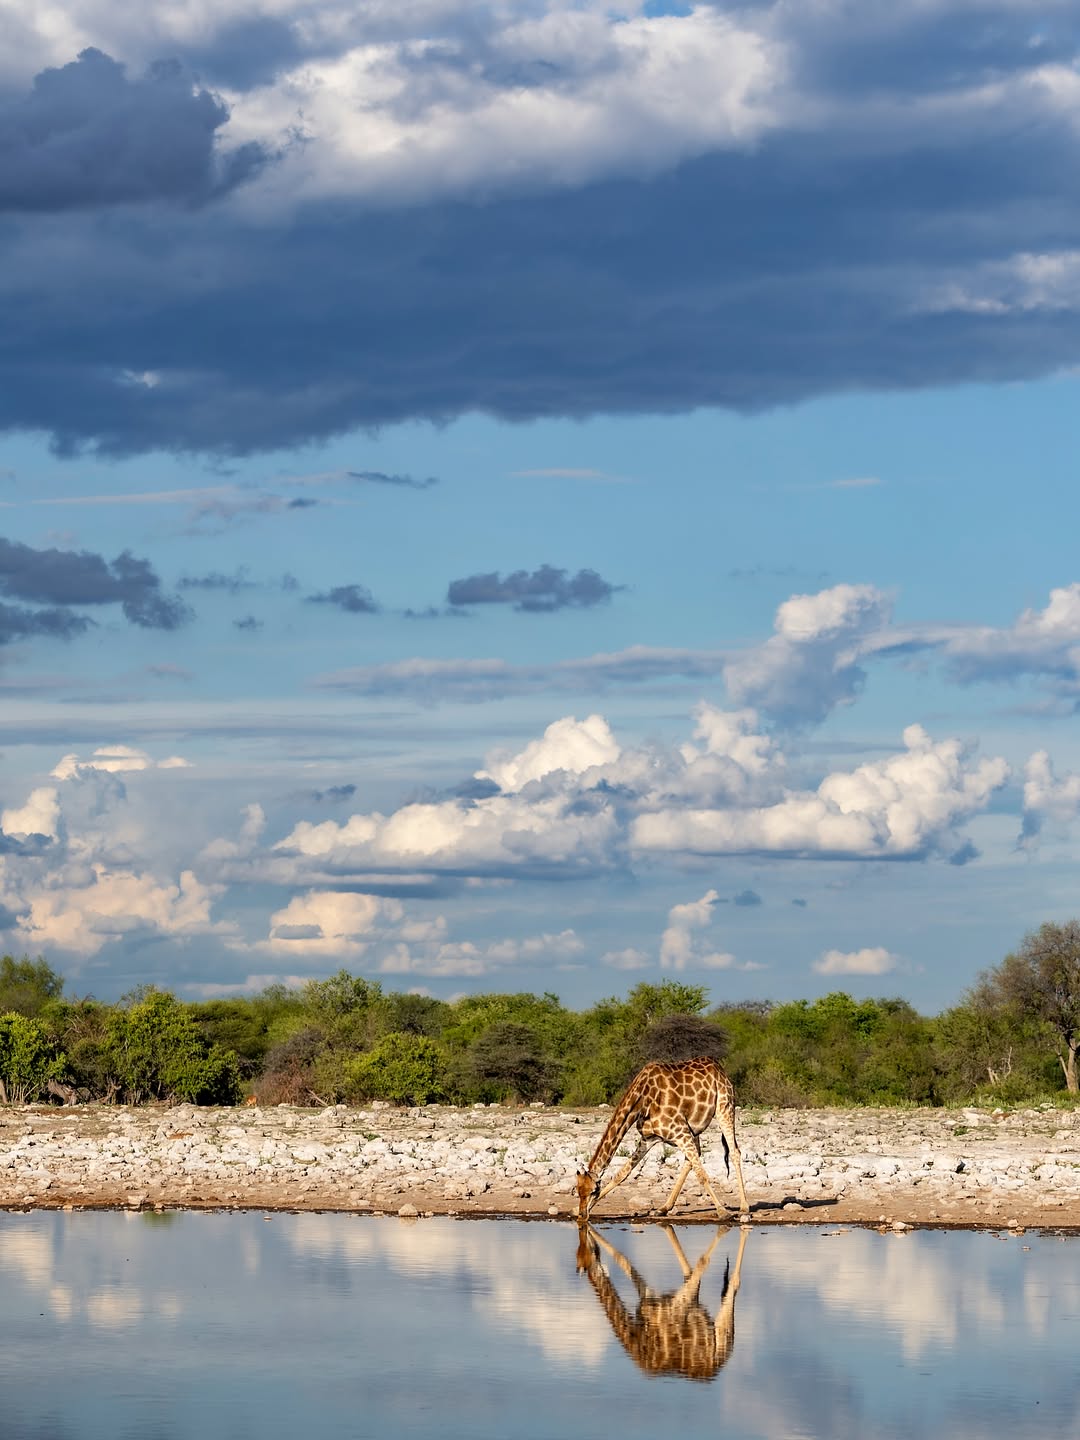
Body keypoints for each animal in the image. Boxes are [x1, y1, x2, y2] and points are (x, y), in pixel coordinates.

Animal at [574, 1057, 750, 1221]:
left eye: (593, 1191)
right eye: (578, 1191)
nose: (582, 1215)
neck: (642, 1099)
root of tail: (719, 1068)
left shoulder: (680, 1132)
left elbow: (702, 1175)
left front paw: (723, 1212)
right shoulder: (649, 1138)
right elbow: (622, 1173)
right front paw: (579, 1210)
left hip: (724, 1107)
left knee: (734, 1152)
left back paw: (744, 1208)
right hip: (694, 1129)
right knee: (691, 1159)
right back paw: (663, 1208)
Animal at [576, 1222, 748, 1382]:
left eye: (587, 1253)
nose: (587, 1238)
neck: (637, 1337)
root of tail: (720, 1362)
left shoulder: (675, 1306)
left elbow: (701, 1263)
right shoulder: (649, 1296)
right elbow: (622, 1259)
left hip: (721, 1331)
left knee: (733, 1283)